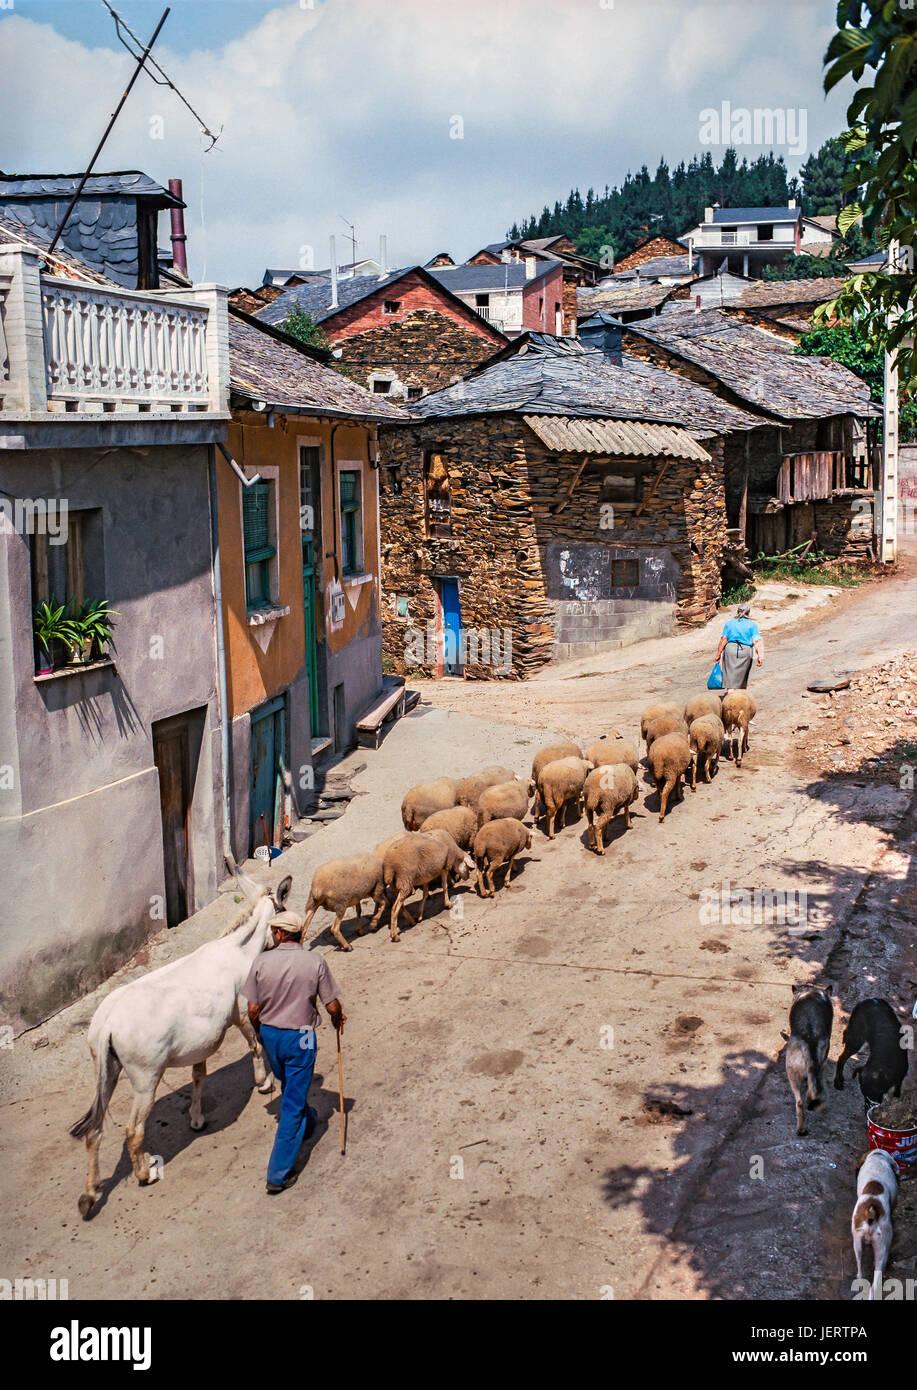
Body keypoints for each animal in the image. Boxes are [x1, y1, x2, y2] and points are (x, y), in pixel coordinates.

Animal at [850, 1145, 900, 1295]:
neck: (877, 1157)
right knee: (875, 1280)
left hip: (857, 1242)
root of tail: (870, 1213)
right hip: (882, 1248)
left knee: (860, 1269)